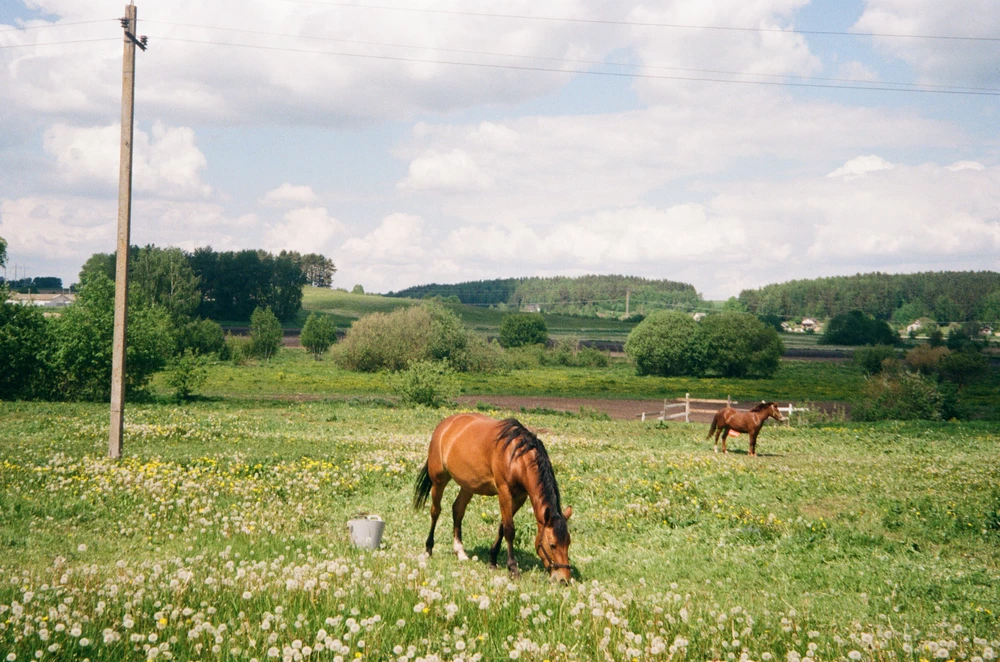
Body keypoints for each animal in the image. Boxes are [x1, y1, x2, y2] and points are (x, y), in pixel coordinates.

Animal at [412, 418, 572, 584]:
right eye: (552, 545)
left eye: (568, 542)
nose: (564, 579)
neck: (517, 456)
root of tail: (444, 424)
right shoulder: (504, 492)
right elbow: (509, 530)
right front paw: (513, 568)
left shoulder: (520, 497)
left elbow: (502, 526)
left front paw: (492, 560)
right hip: (439, 480)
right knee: (435, 511)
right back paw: (429, 548)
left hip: (468, 485)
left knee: (457, 509)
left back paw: (460, 551)